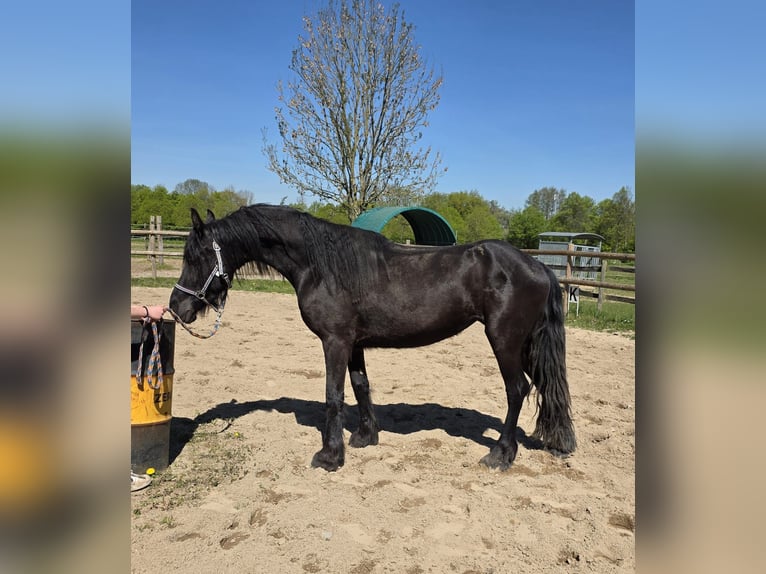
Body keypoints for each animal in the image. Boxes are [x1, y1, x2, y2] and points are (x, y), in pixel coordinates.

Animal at [169, 204, 576, 472]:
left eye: (196, 256)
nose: (176, 308)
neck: (321, 266)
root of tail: (538, 265)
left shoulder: (334, 341)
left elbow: (333, 396)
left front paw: (330, 456)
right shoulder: (354, 343)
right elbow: (360, 385)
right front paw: (365, 437)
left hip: (505, 341)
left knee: (517, 390)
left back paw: (501, 454)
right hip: (526, 344)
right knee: (544, 387)